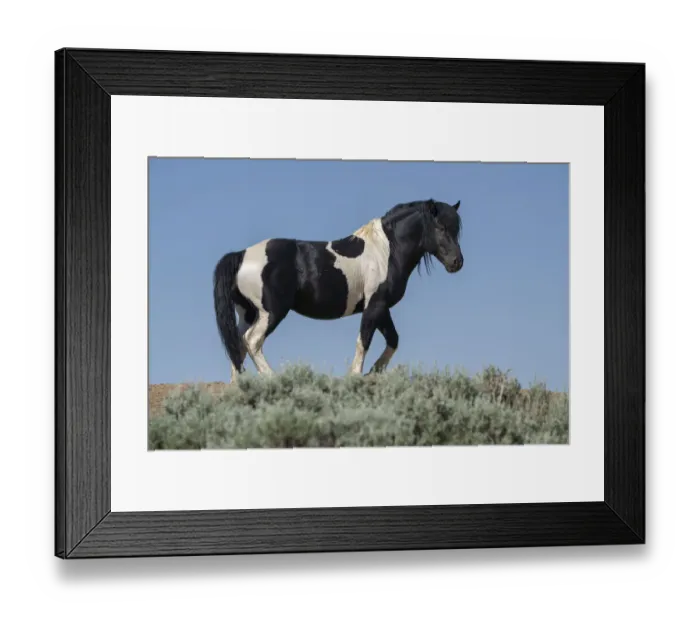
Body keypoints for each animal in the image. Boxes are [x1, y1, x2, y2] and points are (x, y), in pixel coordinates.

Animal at [213, 198, 464, 382]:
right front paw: (356, 375)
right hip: (271, 312)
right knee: (252, 341)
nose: (457, 262)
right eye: (440, 227)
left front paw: (374, 372)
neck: (386, 251)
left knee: (238, 344)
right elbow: (364, 340)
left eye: (456, 230)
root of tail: (241, 255)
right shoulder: (375, 304)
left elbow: (393, 339)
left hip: (248, 313)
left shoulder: (381, 307)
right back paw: (273, 378)